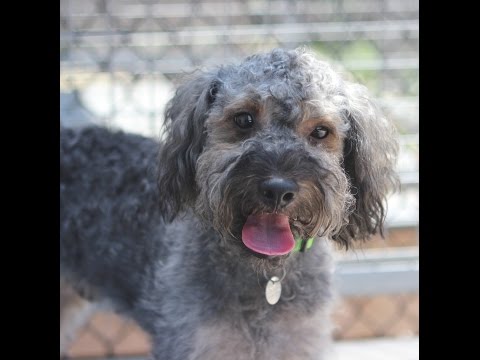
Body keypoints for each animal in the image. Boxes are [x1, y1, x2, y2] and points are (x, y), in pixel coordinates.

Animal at [60, 48, 398, 360]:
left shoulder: (296, 343)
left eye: (321, 131)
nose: (278, 190)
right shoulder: (199, 344)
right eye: (244, 119)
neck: (265, 280)